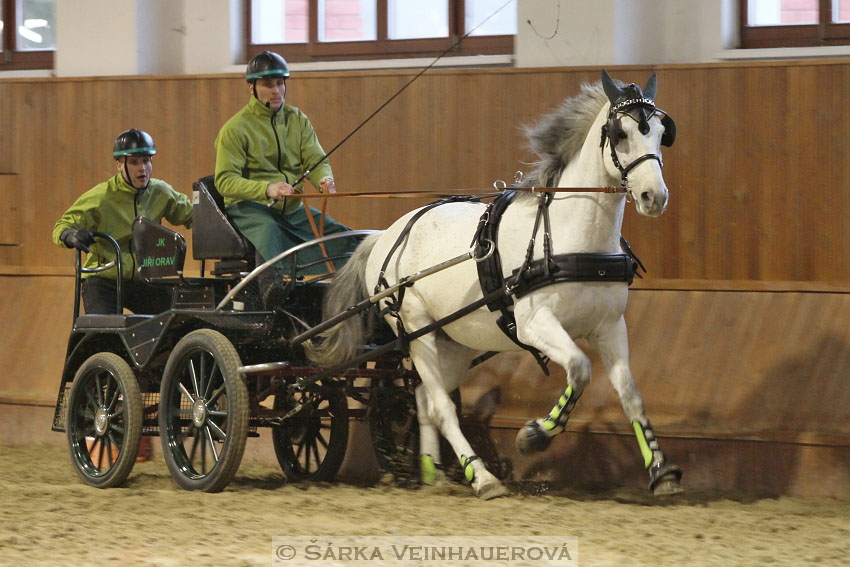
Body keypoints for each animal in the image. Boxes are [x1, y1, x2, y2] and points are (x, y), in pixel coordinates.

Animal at [308, 70, 680, 496]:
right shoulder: (536, 324)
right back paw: (481, 476)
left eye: (661, 133)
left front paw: (661, 471)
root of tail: (386, 235)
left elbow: (632, 395)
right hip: (418, 331)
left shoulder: (610, 327)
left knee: (424, 399)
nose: (654, 197)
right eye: (621, 133)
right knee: (440, 405)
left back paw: (434, 471)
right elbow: (580, 367)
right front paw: (535, 434)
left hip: (455, 341)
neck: (570, 236)